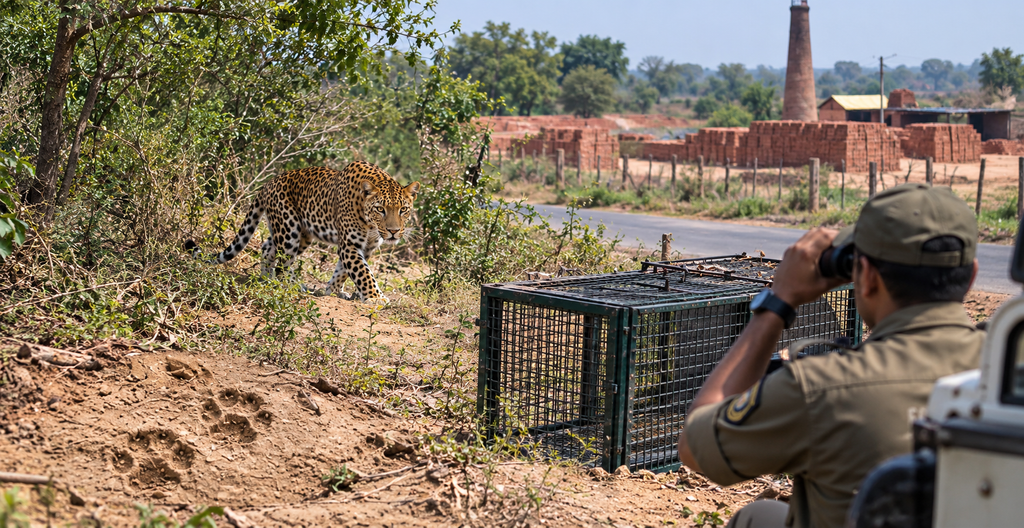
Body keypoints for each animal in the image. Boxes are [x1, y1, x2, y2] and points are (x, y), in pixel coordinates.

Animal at [188, 161, 419, 303]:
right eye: (380, 209)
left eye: (403, 210)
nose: (393, 232)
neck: (371, 224)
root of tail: (268, 183)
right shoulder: (350, 244)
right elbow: (362, 272)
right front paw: (374, 297)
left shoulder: (367, 246)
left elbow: (343, 271)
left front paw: (333, 291)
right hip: (289, 230)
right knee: (283, 263)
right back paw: (289, 285)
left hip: (302, 235)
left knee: (268, 247)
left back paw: (266, 278)